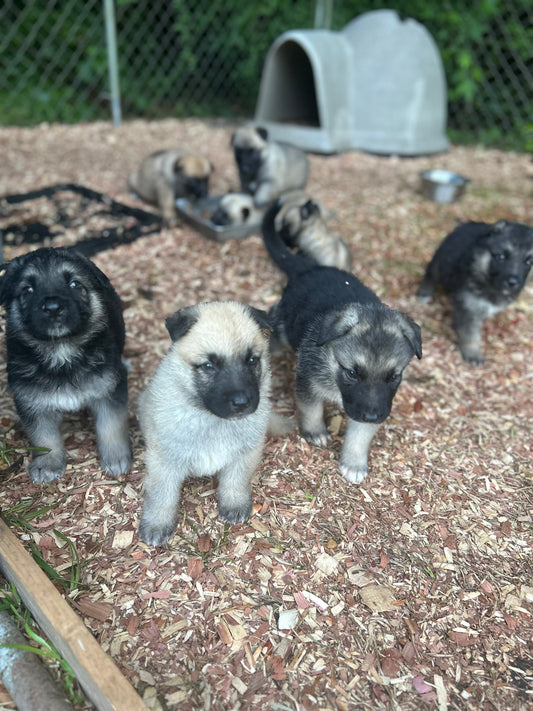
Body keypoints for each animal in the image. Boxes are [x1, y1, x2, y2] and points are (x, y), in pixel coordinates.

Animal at [0, 246, 132, 484]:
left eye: (74, 284)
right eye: (28, 290)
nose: (53, 308)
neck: (61, 352)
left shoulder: (109, 391)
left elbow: (111, 426)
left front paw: (117, 459)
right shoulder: (32, 402)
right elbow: (44, 436)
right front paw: (48, 464)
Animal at [137, 300, 290, 544]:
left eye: (252, 360)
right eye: (209, 366)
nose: (242, 402)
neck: (212, 420)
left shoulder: (245, 454)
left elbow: (236, 481)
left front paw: (234, 504)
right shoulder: (164, 461)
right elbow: (162, 495)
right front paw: (156, 524)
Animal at [260, 200, 420, 484]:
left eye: (393, 377)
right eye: (352, 372)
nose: (372, 415)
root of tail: (312, 267)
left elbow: (360, 435)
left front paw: (354, 462)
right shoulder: (308, 383)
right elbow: (311, 409)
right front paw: (315, 431)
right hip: (285, 324)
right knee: (274, 320)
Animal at [416, 220, 532, 364]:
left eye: (528, 262)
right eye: (501, 256)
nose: (512, 282)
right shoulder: (468, 307)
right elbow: (470, 334)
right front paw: (473, 353)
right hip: (441, 260)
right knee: (431, 272)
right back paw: (424, 292)